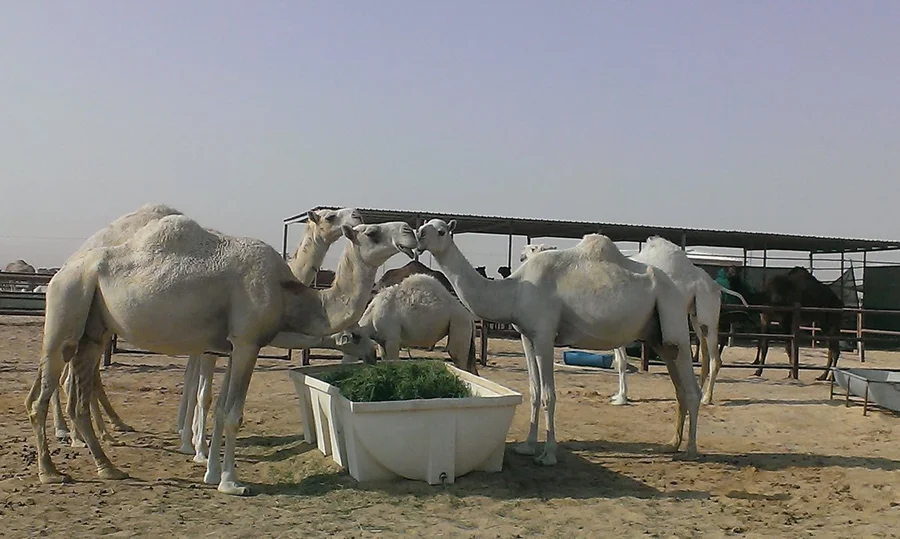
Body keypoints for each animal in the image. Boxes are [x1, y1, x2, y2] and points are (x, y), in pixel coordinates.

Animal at [25, 208, 417, 495]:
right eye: (371, 233)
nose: (409, 231)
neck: (286, 291)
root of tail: (60, 272)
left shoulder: (229, 346)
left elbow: (219, 408)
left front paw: (212, 471)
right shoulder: (245, 342)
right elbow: (230, 413)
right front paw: (230, 482)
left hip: (94, 329)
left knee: (78, 392)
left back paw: (108, 467)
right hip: (67, 306)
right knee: (43, 395)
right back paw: (50, 471)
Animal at [346, 274, 478, 374]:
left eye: (353, 341)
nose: (372, 359)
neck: (372, 316)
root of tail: (470, 318)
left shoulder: (392, 340)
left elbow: (394, 360)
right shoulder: (381, 342)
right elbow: (385, 359)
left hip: (459, 323)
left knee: (458, 357)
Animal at [416, 219, 702, 465]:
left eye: (441, 231)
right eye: (425, 225)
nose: (418, 235)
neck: (513, 291)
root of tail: (687, 285)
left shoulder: (544, 335)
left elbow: (549, 395)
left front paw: (548, 455)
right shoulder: (527, 336)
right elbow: (534, 391)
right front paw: (527, 446)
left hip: (675, 320)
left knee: (692, 389)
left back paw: (691, 450)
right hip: (659, 337)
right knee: (679, 388)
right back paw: (672, 444)